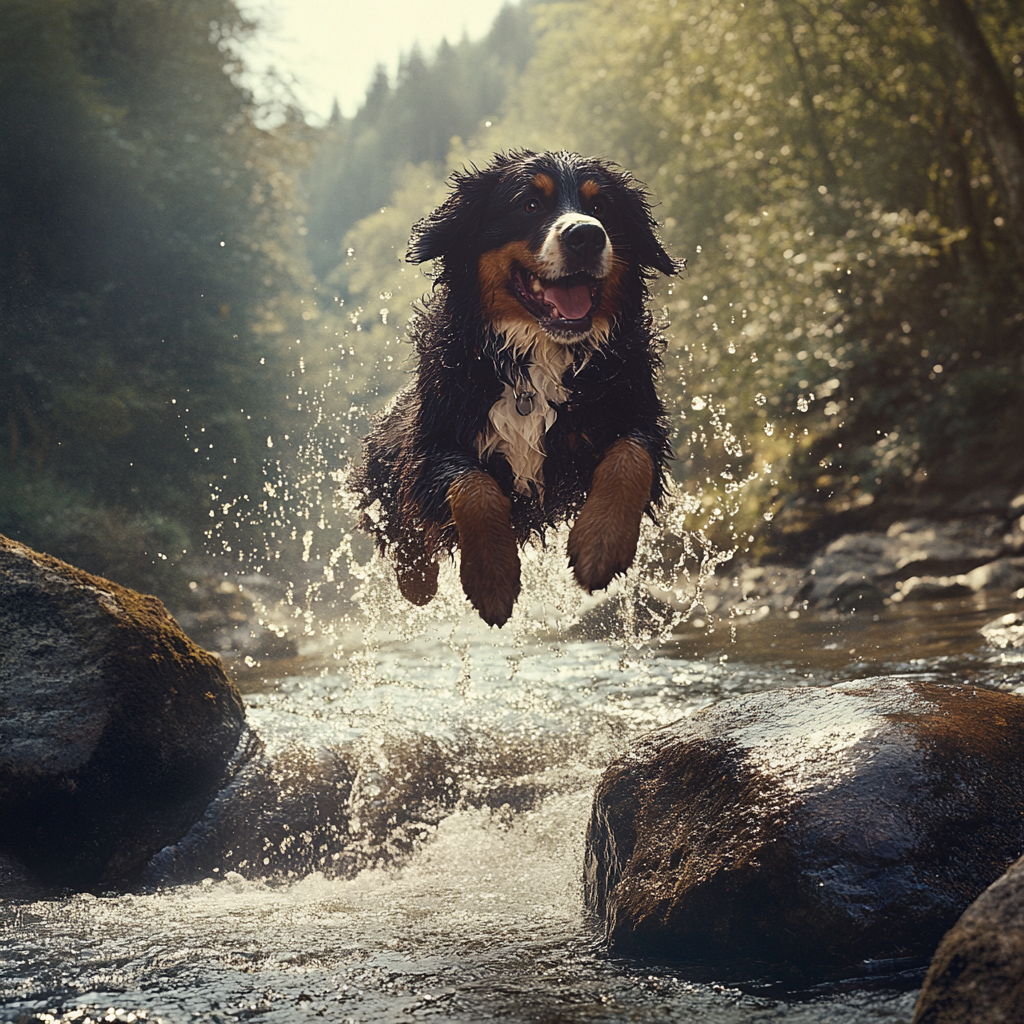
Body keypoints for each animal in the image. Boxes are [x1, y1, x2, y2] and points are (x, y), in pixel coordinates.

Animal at [352, 149, 679, 626]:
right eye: (530, 205)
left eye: (601, 207)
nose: (586, 235)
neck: (538, 358)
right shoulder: (432, 441)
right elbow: (472, 486)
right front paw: (492, 579)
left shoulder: (636, 412)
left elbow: (629, 458)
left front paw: (600, 545)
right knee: (404, 528)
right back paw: (417, 580)